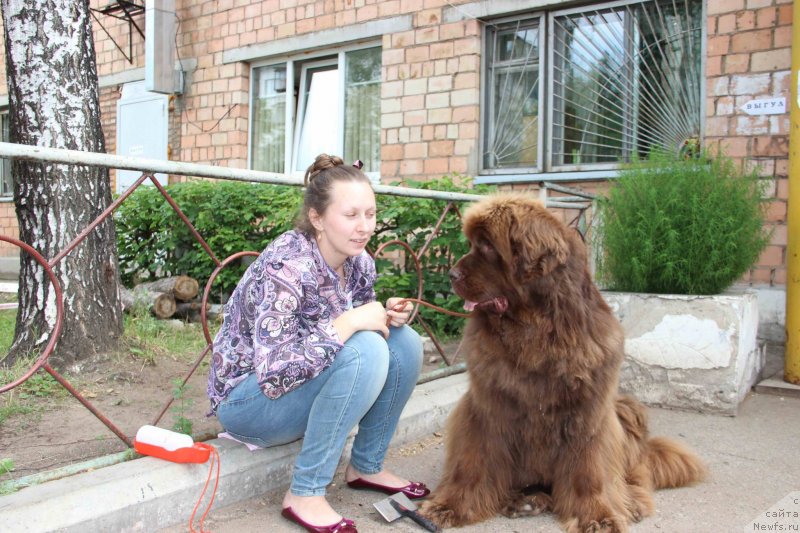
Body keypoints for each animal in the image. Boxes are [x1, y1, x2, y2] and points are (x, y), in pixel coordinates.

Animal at [422, 194, 704, 532]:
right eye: (472, 244)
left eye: (488, 246)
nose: (451, 274)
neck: (534, 327)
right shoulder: (486, 407)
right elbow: (472, 462)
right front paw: (449, 506)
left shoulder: (588, 412)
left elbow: (589, 471)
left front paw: (598, 515)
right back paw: (527, 499)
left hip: (626, 412)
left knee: (634, 475)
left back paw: (630, 502)